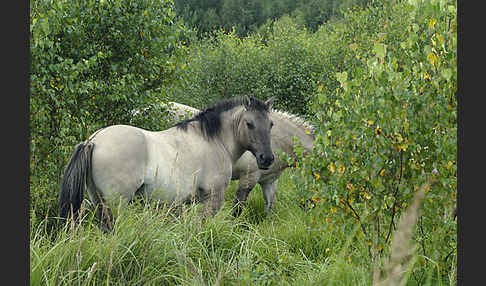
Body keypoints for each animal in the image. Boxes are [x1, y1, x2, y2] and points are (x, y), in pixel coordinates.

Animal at [58, 96, 276, 230]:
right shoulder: (213, 198)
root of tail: (94, 140)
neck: (215, 141)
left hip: (99, 203)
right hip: (117, 204)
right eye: (249, 123)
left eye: (271, 124)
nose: (267, 158)